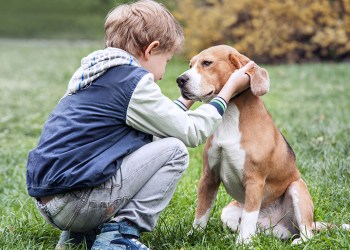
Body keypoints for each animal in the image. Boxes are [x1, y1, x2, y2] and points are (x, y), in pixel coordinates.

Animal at [176, 45, 348, 244]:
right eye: (190, 65)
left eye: (207, 63)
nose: (180, 80)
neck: (229, 116)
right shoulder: (208, 177)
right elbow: (201, 213)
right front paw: (193, 236)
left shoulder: (254, 180)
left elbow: (249, 216)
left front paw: (243, 244)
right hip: (228, 211)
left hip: (297, 188)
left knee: (307, 234)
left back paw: (297, 241)